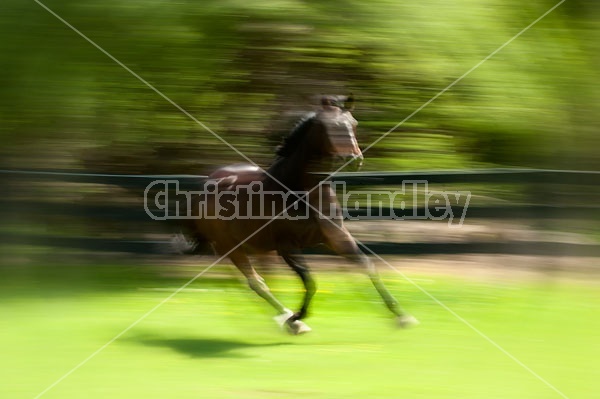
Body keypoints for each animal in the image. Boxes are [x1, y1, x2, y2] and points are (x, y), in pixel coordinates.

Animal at [188, 97, 418, 334]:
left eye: (354, 123)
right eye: (329, 127)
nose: (352, 159)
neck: (300, 192)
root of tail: (208, 182)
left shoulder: (338, 238)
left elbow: (368, 266)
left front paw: (403, 317)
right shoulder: (287, 246)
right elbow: (310, 281)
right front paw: (297, 318)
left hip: (258, 248)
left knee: (260, 280)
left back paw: (282, 316)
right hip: (229, 246)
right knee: (255, 282)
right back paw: (289, 320)